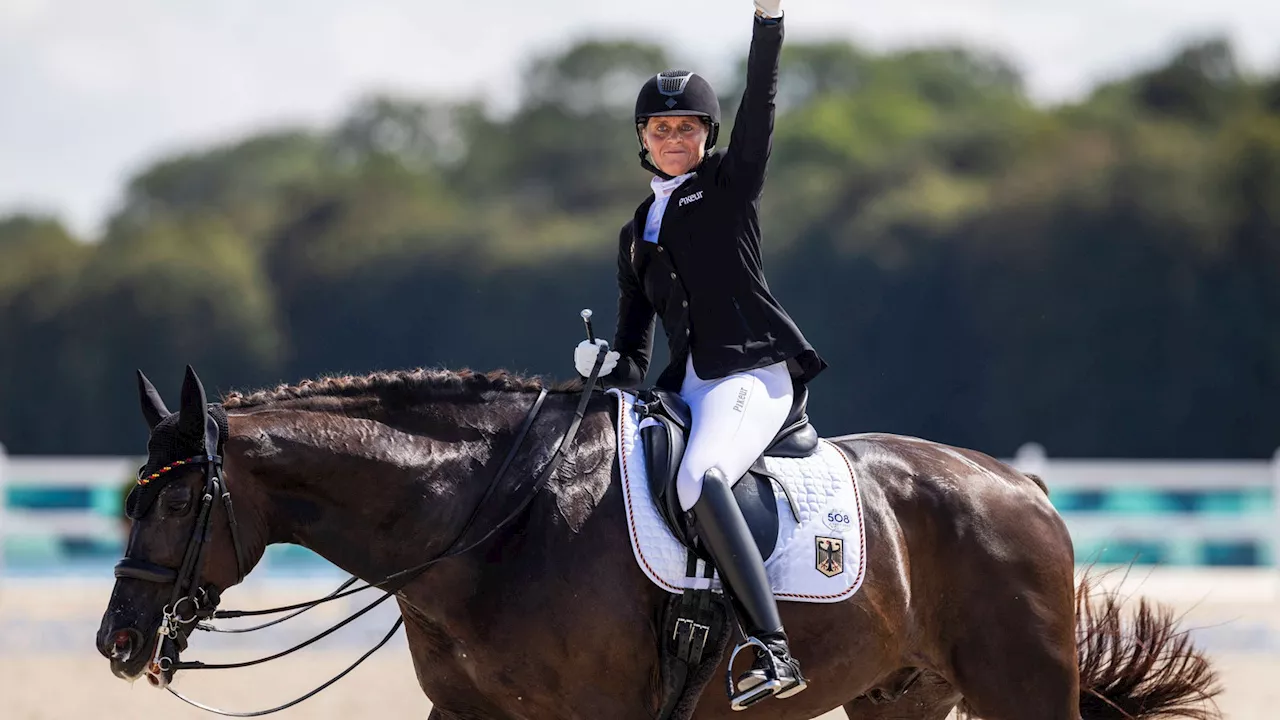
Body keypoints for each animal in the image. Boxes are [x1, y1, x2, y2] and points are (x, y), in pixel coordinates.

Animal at [94, 366, 1213, 712]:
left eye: (173, 506)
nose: (117, 642)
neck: (483, 522)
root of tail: (1018, 484)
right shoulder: (468, 715)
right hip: (902, 694)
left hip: (1019, 683)